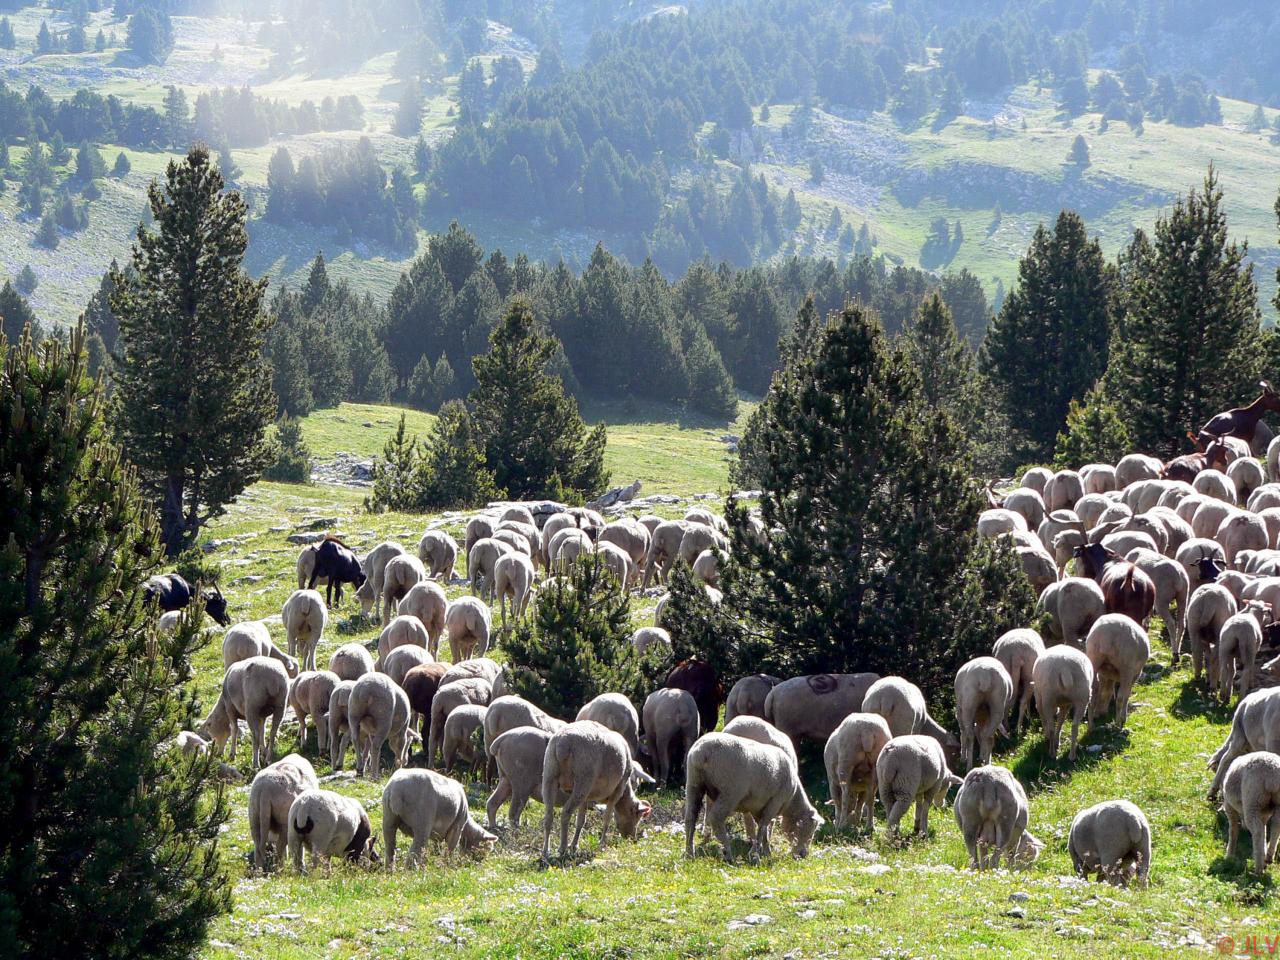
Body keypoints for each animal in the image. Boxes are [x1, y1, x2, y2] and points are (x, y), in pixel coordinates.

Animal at [537, 721, 650, 865]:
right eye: (637, 817)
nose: (631, 838)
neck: (625, 792)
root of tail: (562, 743)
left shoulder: (586, 797)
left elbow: (581, 820)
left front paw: (574, 846)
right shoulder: (617, 790)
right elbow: (607, 817)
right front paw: (601, 844)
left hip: (549, 775)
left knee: (548, 816)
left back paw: (546, 851)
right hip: (583, 779)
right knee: (566, 813)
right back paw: (562, 848)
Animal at [680, 737, 819, 865]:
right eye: (810, 831)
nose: (803, 855)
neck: (791, 801)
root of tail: (701, 753)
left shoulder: (757, 807)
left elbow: (764, 830)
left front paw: (766, 852)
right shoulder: (775, 802)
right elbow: (763, 827)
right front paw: (755, 854)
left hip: (694, 783)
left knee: (690, 818)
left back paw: (689, 853)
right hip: (730, 792)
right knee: (715, 818)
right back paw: (727, 854)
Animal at [1218, 752, 1280, 880]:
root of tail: (1271, 775)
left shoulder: (1229, 807)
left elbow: (1233, 831)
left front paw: (1229, 855)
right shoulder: (1264, 814)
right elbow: (1265, 830)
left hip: (1253, 800)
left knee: (1257, 832)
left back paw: (1258, 868)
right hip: (1276, 803)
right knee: (1276, 827)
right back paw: (1268, 857)